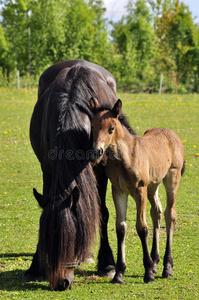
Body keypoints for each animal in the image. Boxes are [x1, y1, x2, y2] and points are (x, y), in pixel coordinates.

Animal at [24, 59, 131, 290]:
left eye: (72, 241)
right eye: (49, 241)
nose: (61, 283)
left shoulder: (101, 169)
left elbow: (102, 212)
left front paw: (107, 264)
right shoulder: (48, 167)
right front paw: (36, 266)